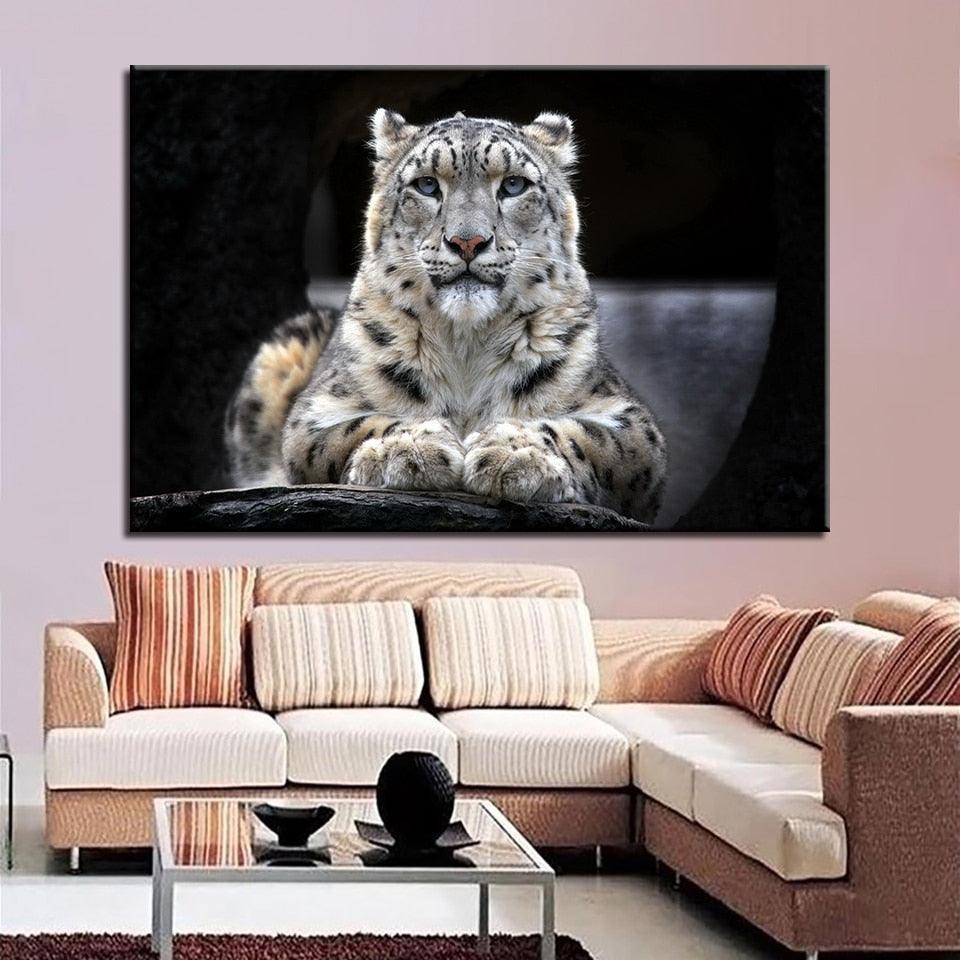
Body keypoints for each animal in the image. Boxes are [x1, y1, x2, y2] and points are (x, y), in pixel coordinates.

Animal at [224, 108, 667, 523]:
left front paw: (513, 453)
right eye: (426, 184)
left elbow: (584, 434)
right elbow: (358, 425)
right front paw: (408, 448)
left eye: (513, 184)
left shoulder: (629, 420)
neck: (467, 345)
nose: (467, 242)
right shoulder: (315, 412)